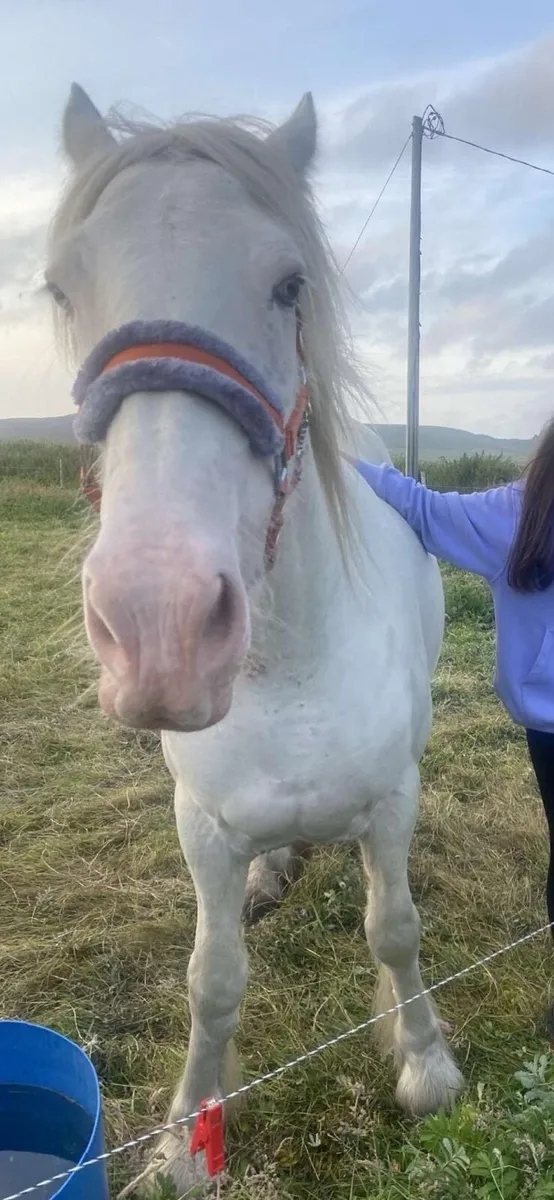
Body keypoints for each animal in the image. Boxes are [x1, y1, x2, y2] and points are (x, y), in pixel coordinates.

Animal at [48, 83, 463, 1194]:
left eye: (287, 285)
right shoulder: (203, 827)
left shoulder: (391, 803)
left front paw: (422, 1063)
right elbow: (213, 980)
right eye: (61, 289)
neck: (291, 669)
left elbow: (394, 929)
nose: (159, 622)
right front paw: (184, 1141)